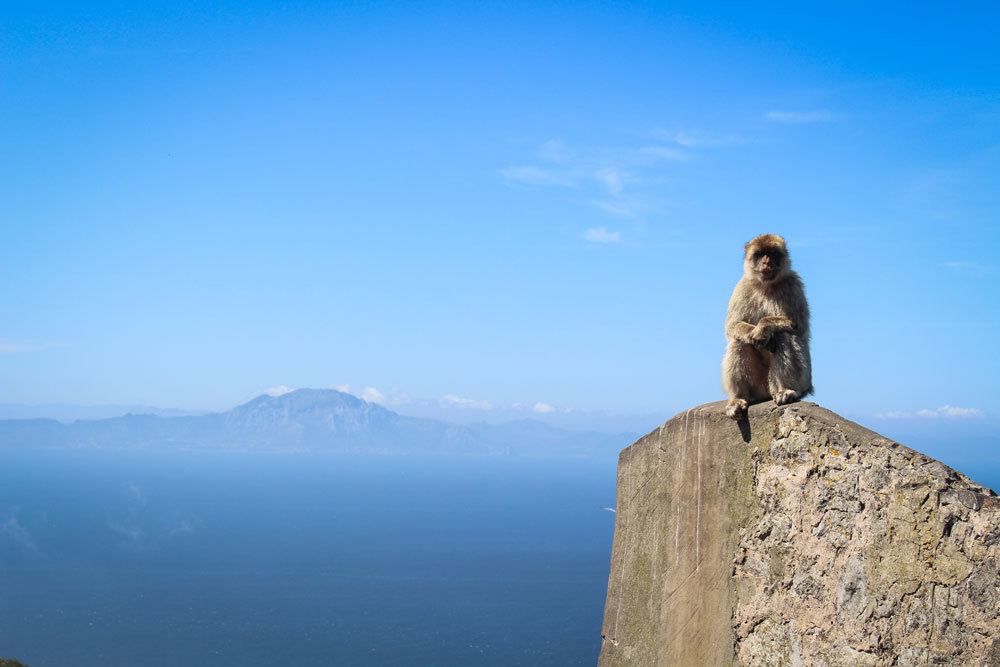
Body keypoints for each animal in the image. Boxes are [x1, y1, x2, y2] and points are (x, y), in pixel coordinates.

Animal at [728, 235, 812, 420]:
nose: (766, 262)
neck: (766, 285)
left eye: (772, 253)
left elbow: (798, 325)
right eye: (760, 254)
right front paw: (754, 333)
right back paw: (738, 398)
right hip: (758, 387)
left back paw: (785, 390)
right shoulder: (742, 286)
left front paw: (762, 328)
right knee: (738, 341)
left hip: (803, 380)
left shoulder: (793, 284)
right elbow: (732, 326)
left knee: (784, 334)